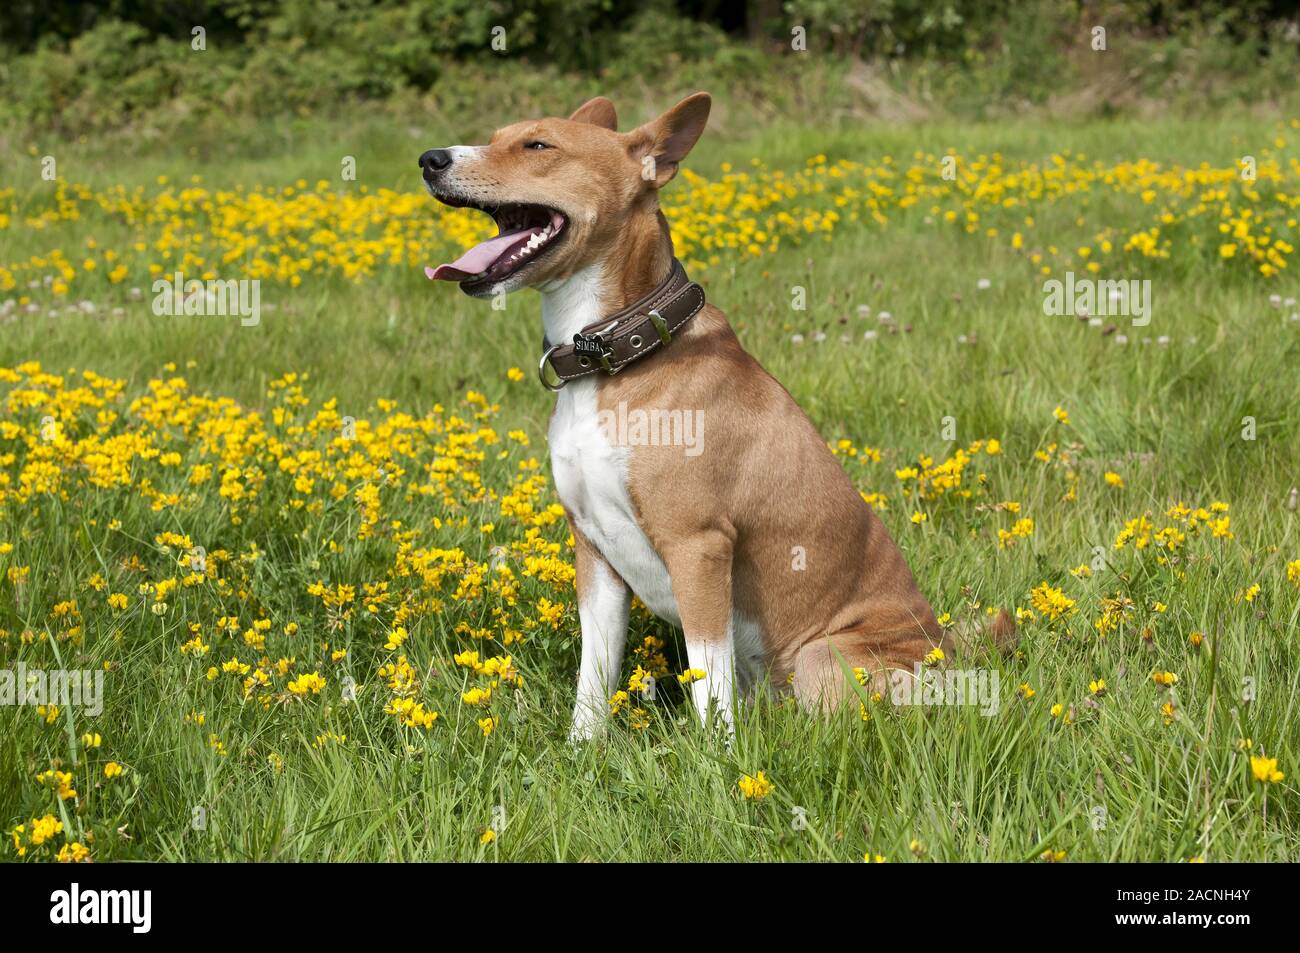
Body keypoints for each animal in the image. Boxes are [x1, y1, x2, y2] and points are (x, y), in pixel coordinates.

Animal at [423, 92, 1013, 738]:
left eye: (538, 146)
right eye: (496, 135)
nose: (430, 158)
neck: (610, 359)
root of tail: (950, 652)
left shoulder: (698, 545)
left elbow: (711, 680)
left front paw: (715, 757)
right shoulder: (595, 549)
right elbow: (594, 676)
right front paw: (583, 749)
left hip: (823, 656)